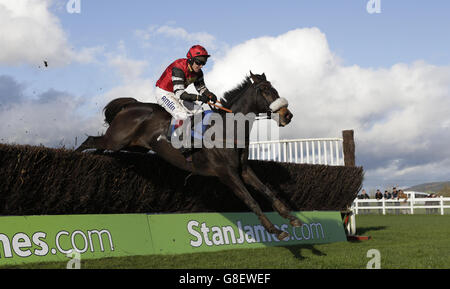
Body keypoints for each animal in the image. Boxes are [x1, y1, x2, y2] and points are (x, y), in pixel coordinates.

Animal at [76, 71, 302, 240]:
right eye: (264, 90)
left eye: (275, 89)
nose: (287, 115)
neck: (228, 129)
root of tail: (131, 105)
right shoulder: (226, 173)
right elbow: (251, 200)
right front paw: (275, 231)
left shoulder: (243, 170)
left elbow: (268, 191)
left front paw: (292, 218)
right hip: (116, 140)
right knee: (89, 141)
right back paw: (77, 160)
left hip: (133, 146)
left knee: (99, 148)